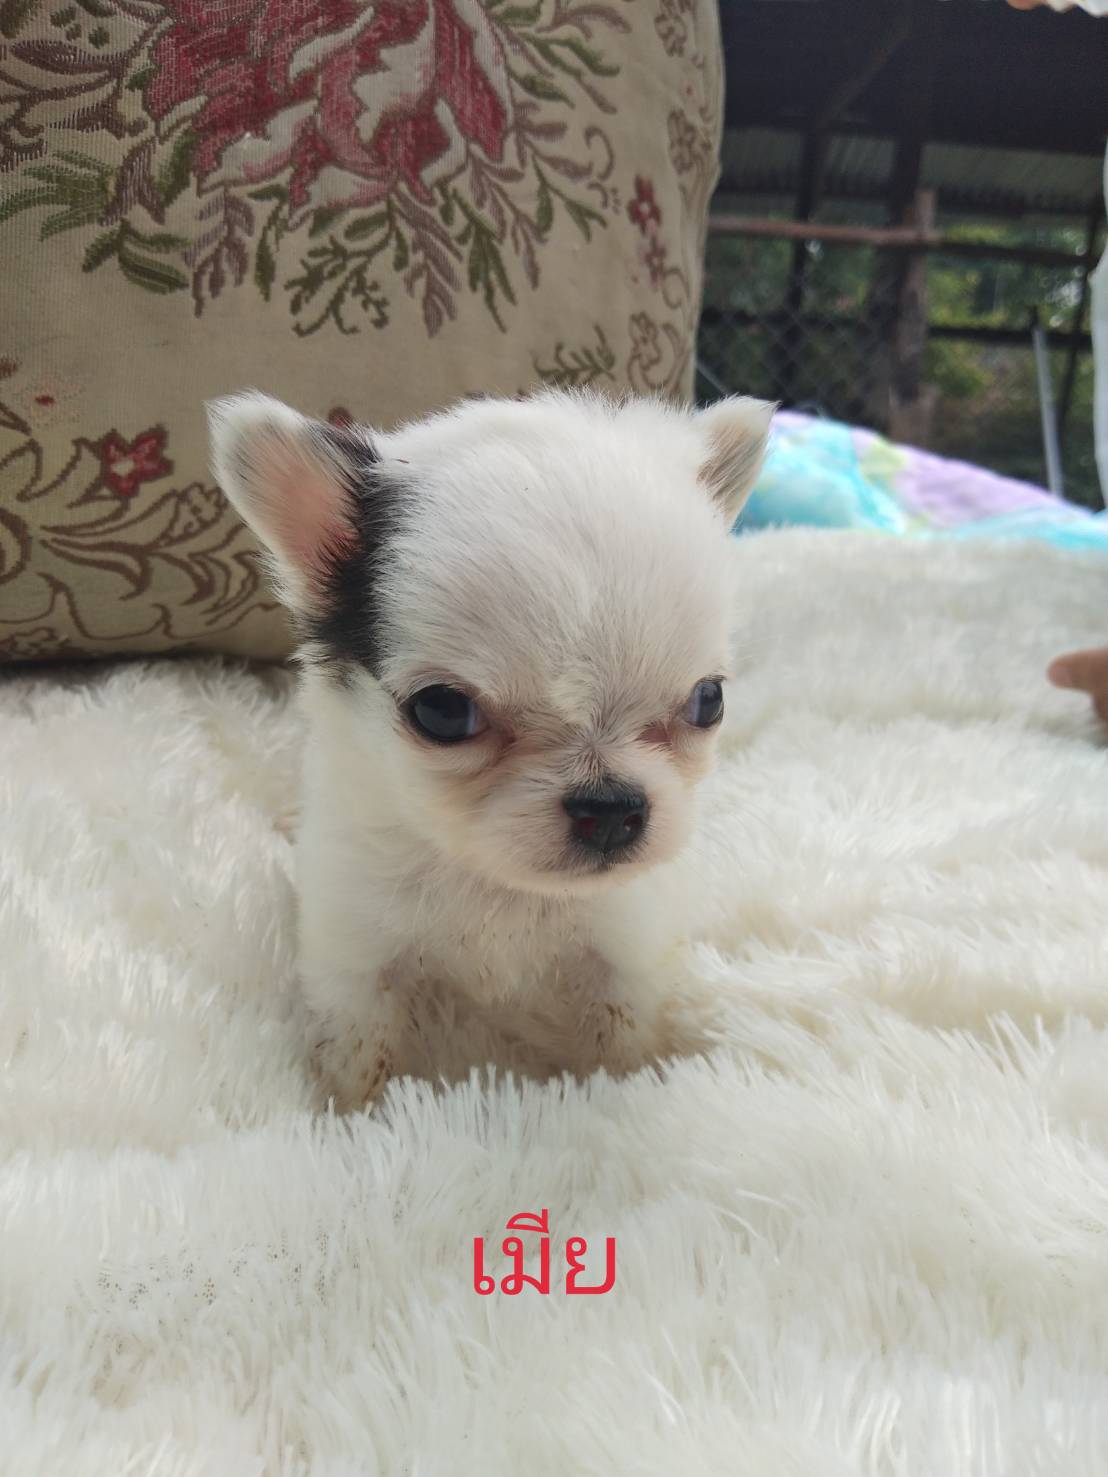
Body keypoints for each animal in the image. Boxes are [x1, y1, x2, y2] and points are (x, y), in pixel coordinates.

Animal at [208, 388, 773, 1110]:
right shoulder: (354, 958)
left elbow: (618, 1046)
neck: (499, 885)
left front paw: (613, 1090)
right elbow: (359, 1055)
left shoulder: (626, 956)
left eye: (708, 701)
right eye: (443, 711)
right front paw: (356, 1119)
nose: (611, 807)